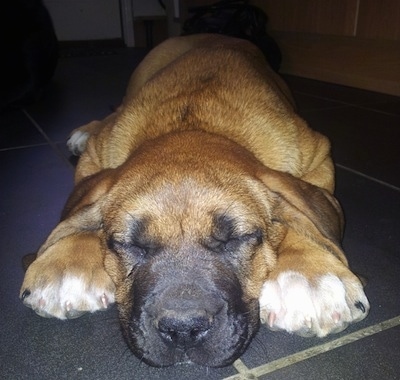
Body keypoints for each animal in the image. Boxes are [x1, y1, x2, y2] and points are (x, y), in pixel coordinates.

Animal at [18, 34, 368, 366]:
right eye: (130, 245)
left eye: (236, 240)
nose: (183, 330)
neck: (194, 124)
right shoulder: (95, 159)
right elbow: (77, 213)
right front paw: (67, 260)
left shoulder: (319, 155)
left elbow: (307, 217)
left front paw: (307, 272)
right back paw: (83, 132)